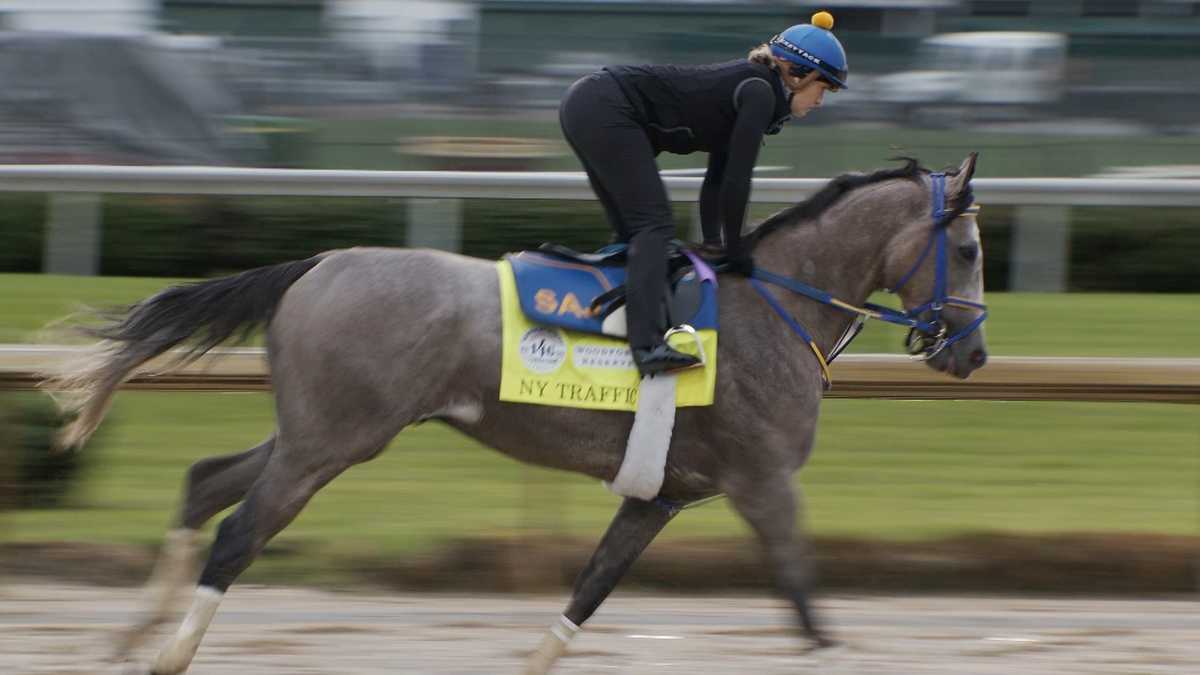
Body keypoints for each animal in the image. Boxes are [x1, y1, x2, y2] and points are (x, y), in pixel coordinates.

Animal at [44, 153, 987, 674]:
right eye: (973, 247)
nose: (972, 353)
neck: (777, 306)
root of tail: (316, 263)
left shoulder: (662, 494)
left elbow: (590, 588)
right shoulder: (764, 481)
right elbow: (802, 594)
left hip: (314, 428)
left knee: (206, 482)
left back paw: (132, 634)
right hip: (334, 440)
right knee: (239, 530)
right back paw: (168, 650)